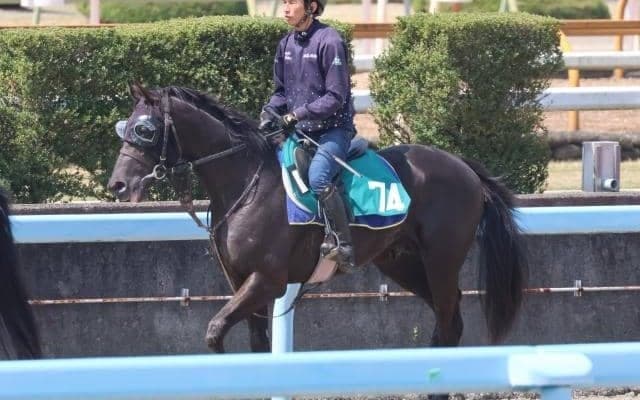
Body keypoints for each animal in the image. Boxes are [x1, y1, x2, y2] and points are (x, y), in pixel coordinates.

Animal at [108, 82, 527, 355]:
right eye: (123, 128)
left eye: (145, 130)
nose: (118, 185)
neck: (247, 183)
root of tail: (466, 169)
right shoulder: (242, 281)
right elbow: (255, 344)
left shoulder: (268, 279)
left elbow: (214, 332)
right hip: (401, 262)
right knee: (447, 320)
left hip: (441, 259)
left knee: (449, 317)